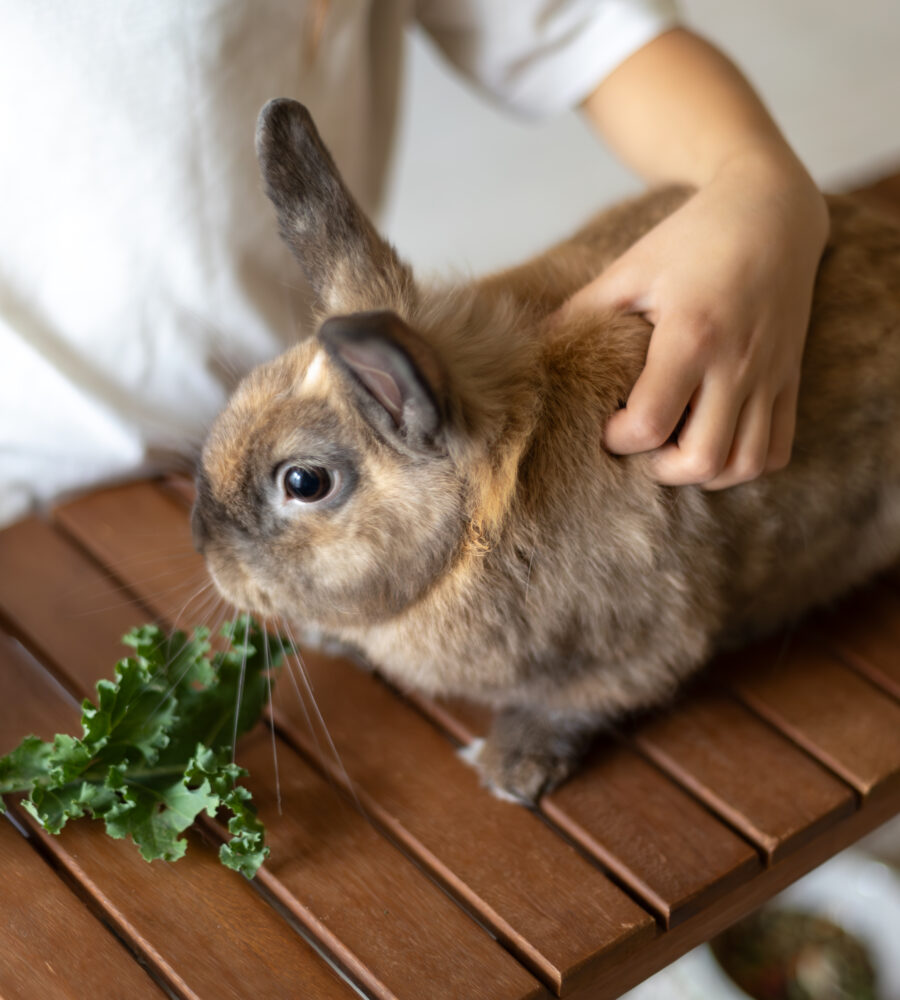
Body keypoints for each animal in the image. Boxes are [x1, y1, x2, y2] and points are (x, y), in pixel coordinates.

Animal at [192, 98, 900, 804]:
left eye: (304, 482)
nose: (205, 546)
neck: (478, 532)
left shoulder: (645, 641)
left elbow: (581, 700)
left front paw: (511, 770)